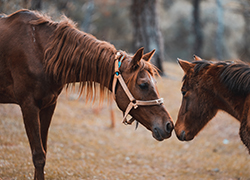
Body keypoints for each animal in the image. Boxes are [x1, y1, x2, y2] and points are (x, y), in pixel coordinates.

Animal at [0, 9, 174, 180]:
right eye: (143, 85)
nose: (169, 125)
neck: (41, 52)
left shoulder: (48, 105)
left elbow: (44, 151)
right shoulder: (28, 106)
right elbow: (38, 156)